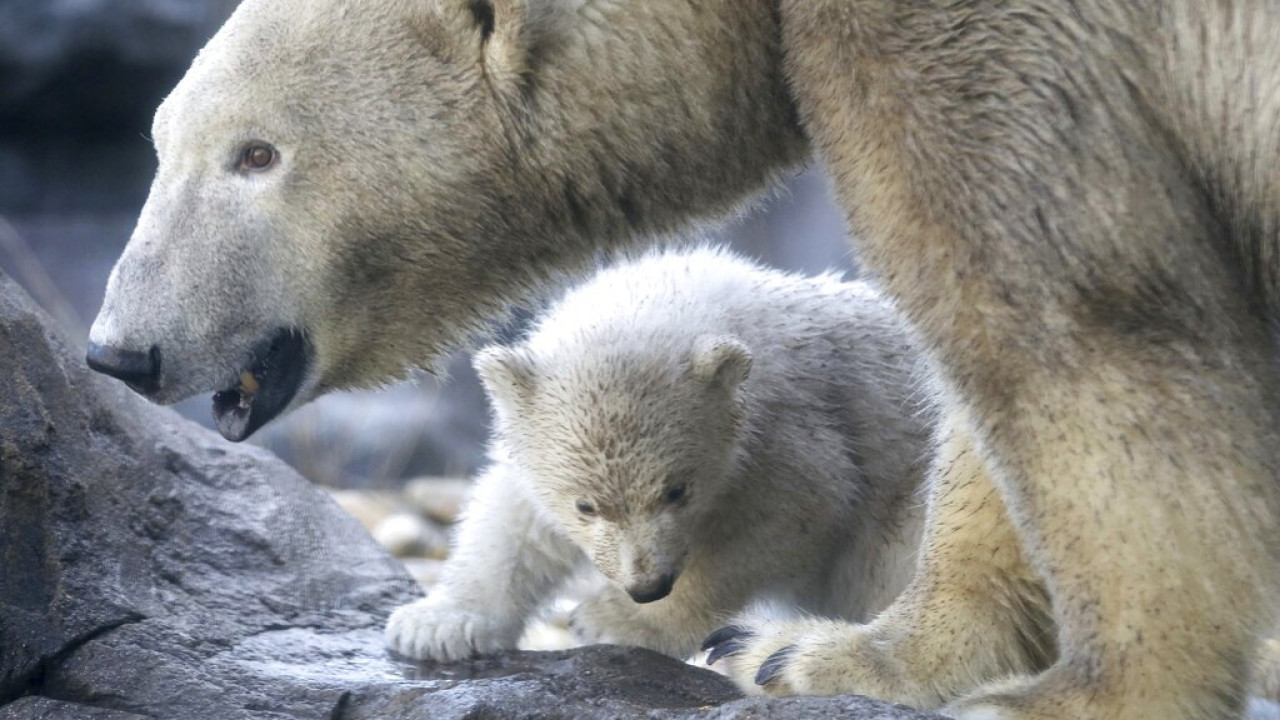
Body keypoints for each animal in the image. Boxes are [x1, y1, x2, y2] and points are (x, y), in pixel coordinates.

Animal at [381, 248, 931, 661]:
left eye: (677, 491)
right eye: (586, 505)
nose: (648, 585)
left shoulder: (791, 431)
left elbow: (790, 517)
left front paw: (613, 620)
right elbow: (515, 520)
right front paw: (437, 625)